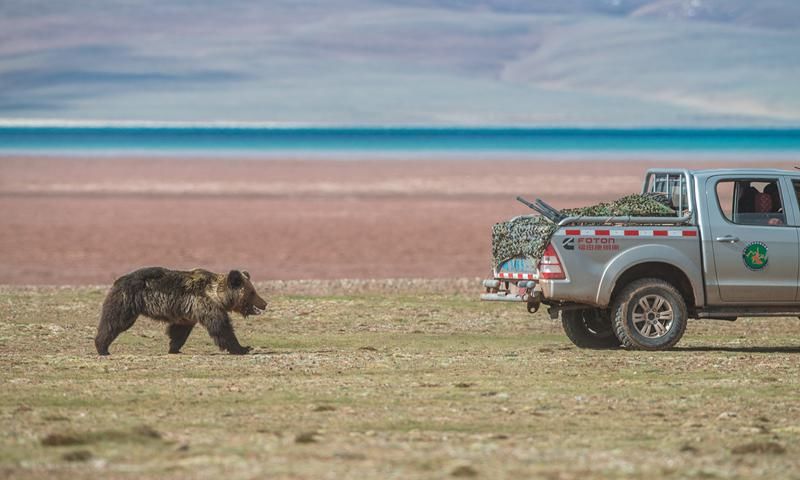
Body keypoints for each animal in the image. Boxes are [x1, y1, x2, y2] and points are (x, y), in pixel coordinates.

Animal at [95, 268, 268, 354]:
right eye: (252, 292)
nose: (265, 303)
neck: (217, 295)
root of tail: (117, 280)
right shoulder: (206, 304)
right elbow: (221, 328)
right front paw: (243, 348)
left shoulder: (187, 313)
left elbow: (179, 332)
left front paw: (174, 348)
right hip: (127, 301)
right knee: (114, 322)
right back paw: (102, 347)